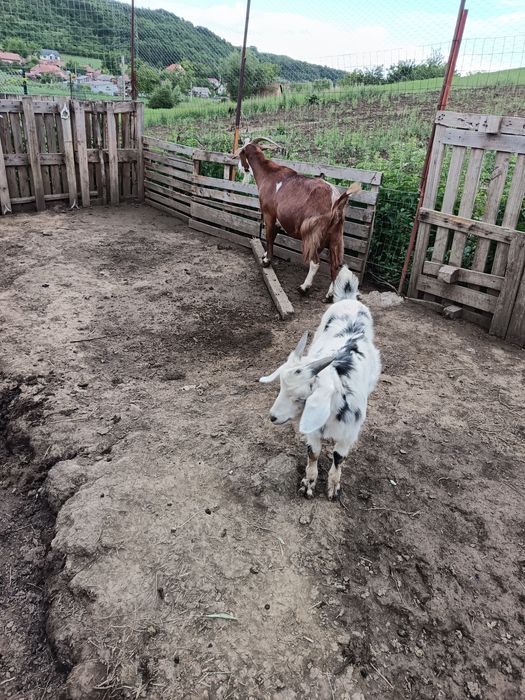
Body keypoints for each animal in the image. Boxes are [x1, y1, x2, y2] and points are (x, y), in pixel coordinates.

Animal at [237, 138, 360, 302]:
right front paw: (264, 255)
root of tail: (337, 201)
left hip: (312, 234)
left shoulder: (270, 214)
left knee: (315, 262)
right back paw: (330, 294)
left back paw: (304, 287)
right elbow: (273, 236)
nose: (239, 167)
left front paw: (266, 261)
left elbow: (269, 236)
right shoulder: (278, 220)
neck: (268, 173)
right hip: (336, 235)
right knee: (335, 265)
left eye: (241, 153)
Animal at [259, 266, 381, 500]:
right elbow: (313, 454)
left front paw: (333, 488)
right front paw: (308, 484)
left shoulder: (348, 434)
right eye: (280, 387)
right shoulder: (313, 431)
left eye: (301, 397)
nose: (272, 417)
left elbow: (338, 457)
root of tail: (349, 299)